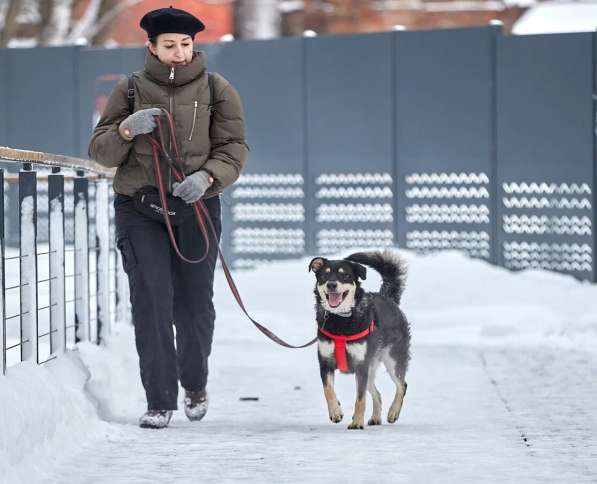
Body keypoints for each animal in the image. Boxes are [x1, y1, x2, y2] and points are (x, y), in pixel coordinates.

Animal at [308, 251, 410, 430]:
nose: (331, 285)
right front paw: (336, 412)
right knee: (378, 393)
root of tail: (388, 297)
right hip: (371, 366)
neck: (341, 319)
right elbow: (328, 390)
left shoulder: (361, 365)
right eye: (324, 275)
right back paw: (375, 418)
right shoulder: (325, 363)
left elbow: (360, 398)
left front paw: (356, 423)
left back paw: (393, 412)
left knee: (402, 385)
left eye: (344, 275)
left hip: (392, 359)